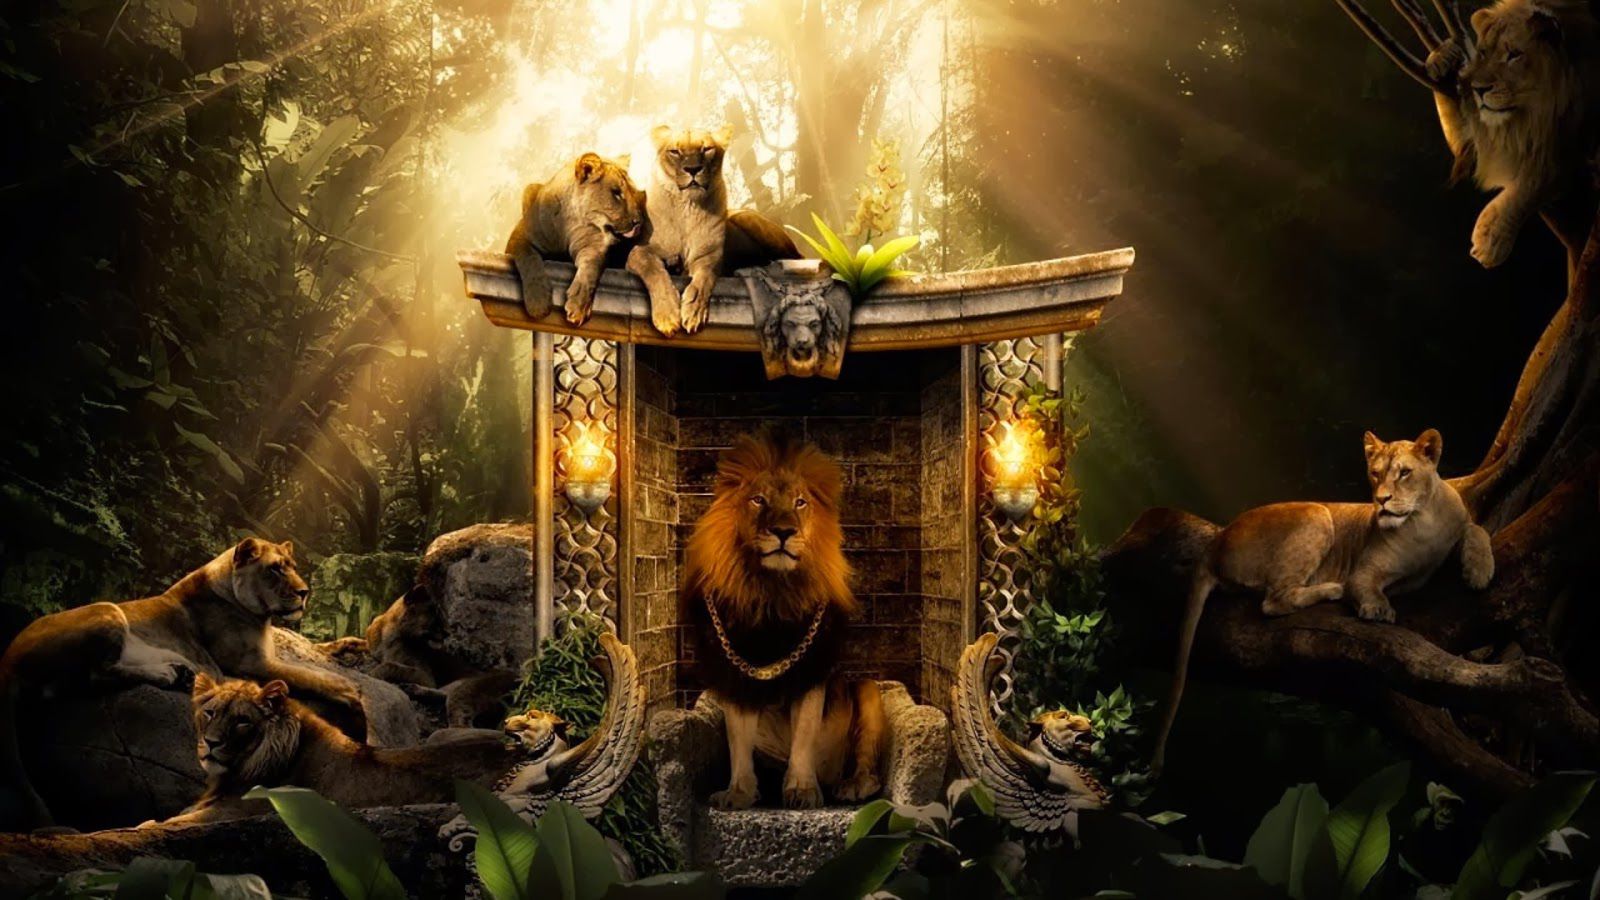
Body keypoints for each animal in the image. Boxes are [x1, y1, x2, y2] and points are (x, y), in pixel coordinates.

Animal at [0, 538, 365, 827]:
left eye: (292, 567)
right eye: (275, 569)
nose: (304, 593)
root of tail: (6, 660)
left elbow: (313, 652)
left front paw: (351, 645)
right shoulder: (248, 663)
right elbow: (310, 675)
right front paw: (351, 693)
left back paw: (179, 671)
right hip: (107, 610)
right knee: (96, 673)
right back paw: (172, 674)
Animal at [504, 152, 648, 325]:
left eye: (632, 193)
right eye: (617, 193)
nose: (639, 222)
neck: (568, 224)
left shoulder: (592, 247)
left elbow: (589, 270)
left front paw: (579, 306)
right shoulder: (519, 236)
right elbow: (529, 260)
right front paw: (538, 303)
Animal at [682, 431, 885, 810]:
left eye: (800, 502)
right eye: (758, 500)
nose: (783, 531)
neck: (771, 593)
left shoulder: (811, 672)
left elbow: (804, 734)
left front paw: (802, 790)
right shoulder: (736, 678)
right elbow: (738, 740)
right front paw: (739, 792)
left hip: (867, 689)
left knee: (865, 760)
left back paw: (854, 785)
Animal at [1150, 429, 1494, 771]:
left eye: (1404, 473)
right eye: (1375, 473)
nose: (1381, 500)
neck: (1421, 521)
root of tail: (1218, 540)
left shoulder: (1457, 529)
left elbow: (1477, 531)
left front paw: (1480, 571)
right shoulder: (1364, 570)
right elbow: (1365, 586)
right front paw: (1376, 607)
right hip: (1316, 513)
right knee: (1274, 601)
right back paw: (1332, 589)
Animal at [1424, 0, 1600, 267]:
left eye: (1514, 54)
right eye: (1483, 53)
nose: (1478, 89)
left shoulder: (1571, 143)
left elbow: (1535, 180)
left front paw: (1490, 237)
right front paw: (1443, 57)